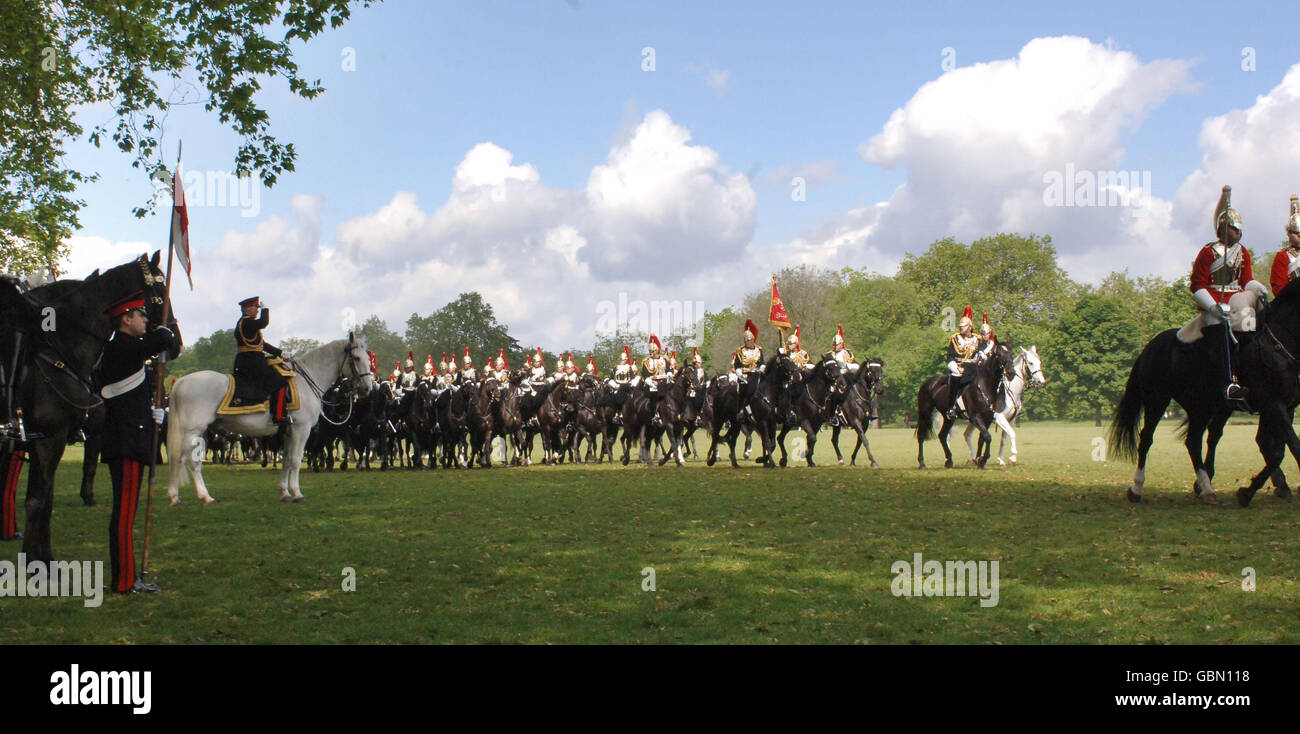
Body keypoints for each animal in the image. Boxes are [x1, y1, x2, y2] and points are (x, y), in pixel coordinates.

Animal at [165, 332, 374, 501]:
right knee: (189, 460)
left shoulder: (289, 430)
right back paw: (203, 496)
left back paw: (178, 496)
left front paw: (285, 492)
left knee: (180, 458)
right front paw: (297, 493)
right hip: (193, 430)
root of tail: (181, 382)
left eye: (368, 358)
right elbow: (296, 459)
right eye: (356, 358)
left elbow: (287, 459)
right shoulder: (301, 429)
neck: (306, 381)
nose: (367, 389)